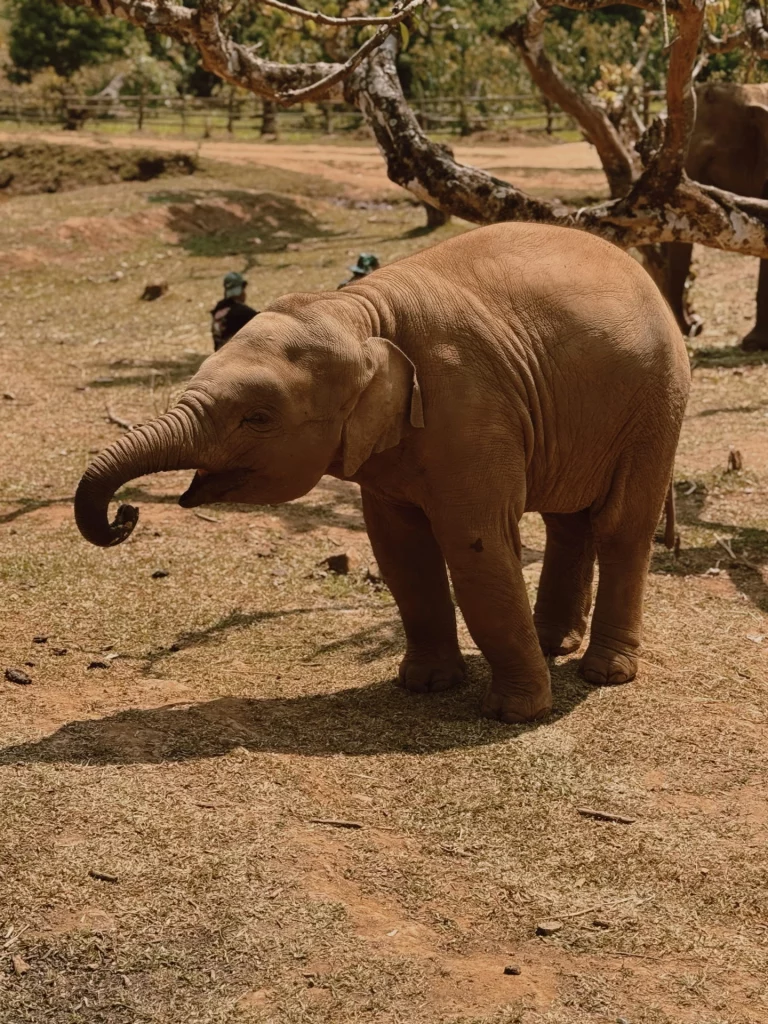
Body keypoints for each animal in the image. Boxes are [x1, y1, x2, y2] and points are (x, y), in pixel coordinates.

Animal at [74, 223, 690, 724]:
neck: (363, 311)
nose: (125, 514)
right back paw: (551, 642)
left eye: (258, 417)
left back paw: (604, 673)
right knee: (569, 522)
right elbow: (400, 549)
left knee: (621, 527)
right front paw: (425, 686)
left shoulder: (470, 408)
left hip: (656, 404)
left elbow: (476, 545)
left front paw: (514, 715)